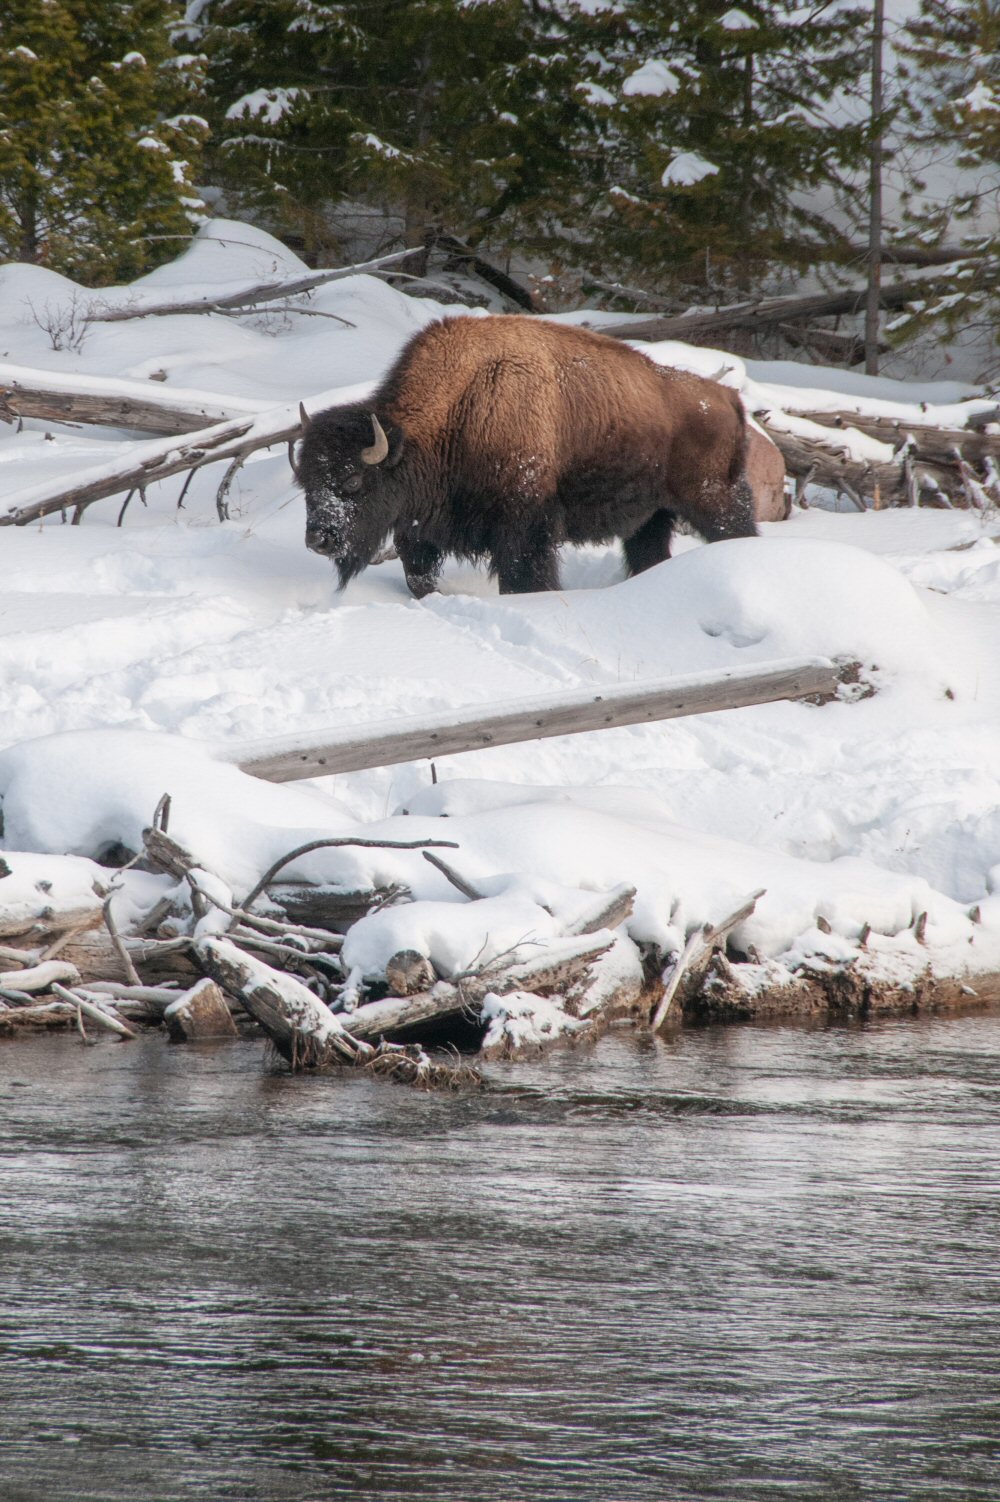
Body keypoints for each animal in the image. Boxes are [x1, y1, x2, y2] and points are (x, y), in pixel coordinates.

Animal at [292, 313, 750, 594]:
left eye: (353, 480)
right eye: (305, 483)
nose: (317, 539)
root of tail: (727, 397)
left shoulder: (524, 527)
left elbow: (524, 579)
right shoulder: (420, 527)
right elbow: (418, 575)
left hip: (715, 501)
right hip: (651, 517)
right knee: (649, 553)